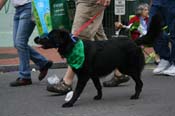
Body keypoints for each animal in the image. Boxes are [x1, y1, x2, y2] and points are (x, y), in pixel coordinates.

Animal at [34, 14, 162, 108]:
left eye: (50, 36)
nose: (37, 39)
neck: (73, 46)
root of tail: (134, 42)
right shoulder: (93, 75)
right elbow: (98, 86)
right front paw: (99, 97)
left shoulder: (83, 76)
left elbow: (77, 91)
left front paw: (70, 103)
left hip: (128, 68)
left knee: (140, 83)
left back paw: (135, 95)